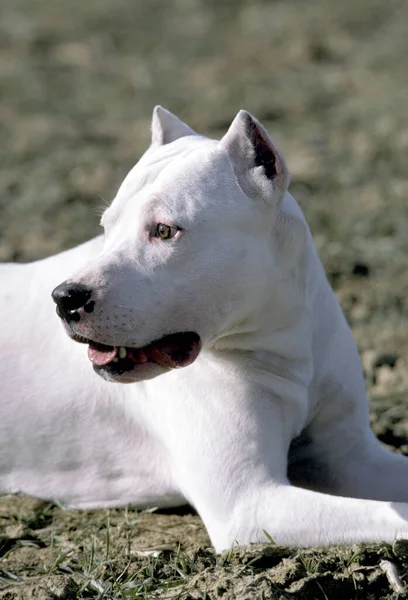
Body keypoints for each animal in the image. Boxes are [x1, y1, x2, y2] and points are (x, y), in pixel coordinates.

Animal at [0, 105, 408, 552]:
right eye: (106, 227)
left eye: (164, 230)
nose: (65, 298)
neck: (280, 336)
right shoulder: (252, 502)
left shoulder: (352, 458)